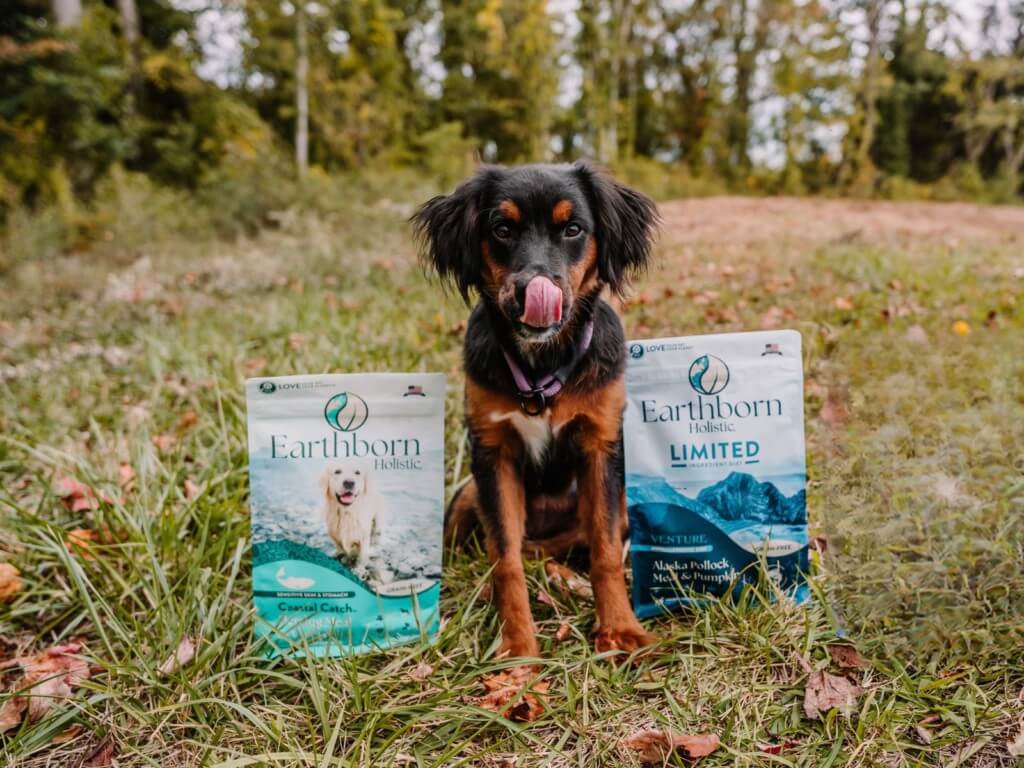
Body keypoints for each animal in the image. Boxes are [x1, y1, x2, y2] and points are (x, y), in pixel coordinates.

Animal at [411, 162, 659, 663]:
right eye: (502, 229)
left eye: (573, 229)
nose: (533, 289)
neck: (542, 364)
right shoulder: (492, 453)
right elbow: (504, 557)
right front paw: (518, 647)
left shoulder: (601, 444)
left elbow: (604, 550)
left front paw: (620, 629)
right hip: (468, 493)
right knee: (500, 549)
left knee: (551, 548)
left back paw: (567, 578)